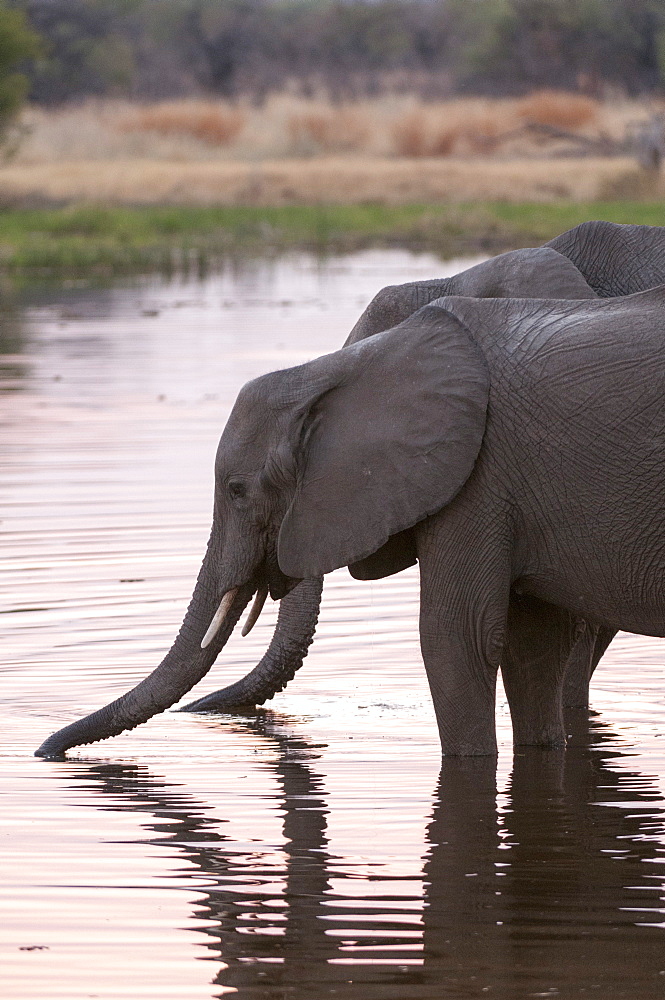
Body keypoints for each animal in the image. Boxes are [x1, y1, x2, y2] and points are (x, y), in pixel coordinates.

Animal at [36, 274, 665, 756]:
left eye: (237, 491)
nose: (44, 751)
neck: (342, 370)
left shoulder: (478, 476)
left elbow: (455, 637)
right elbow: (533, 645)